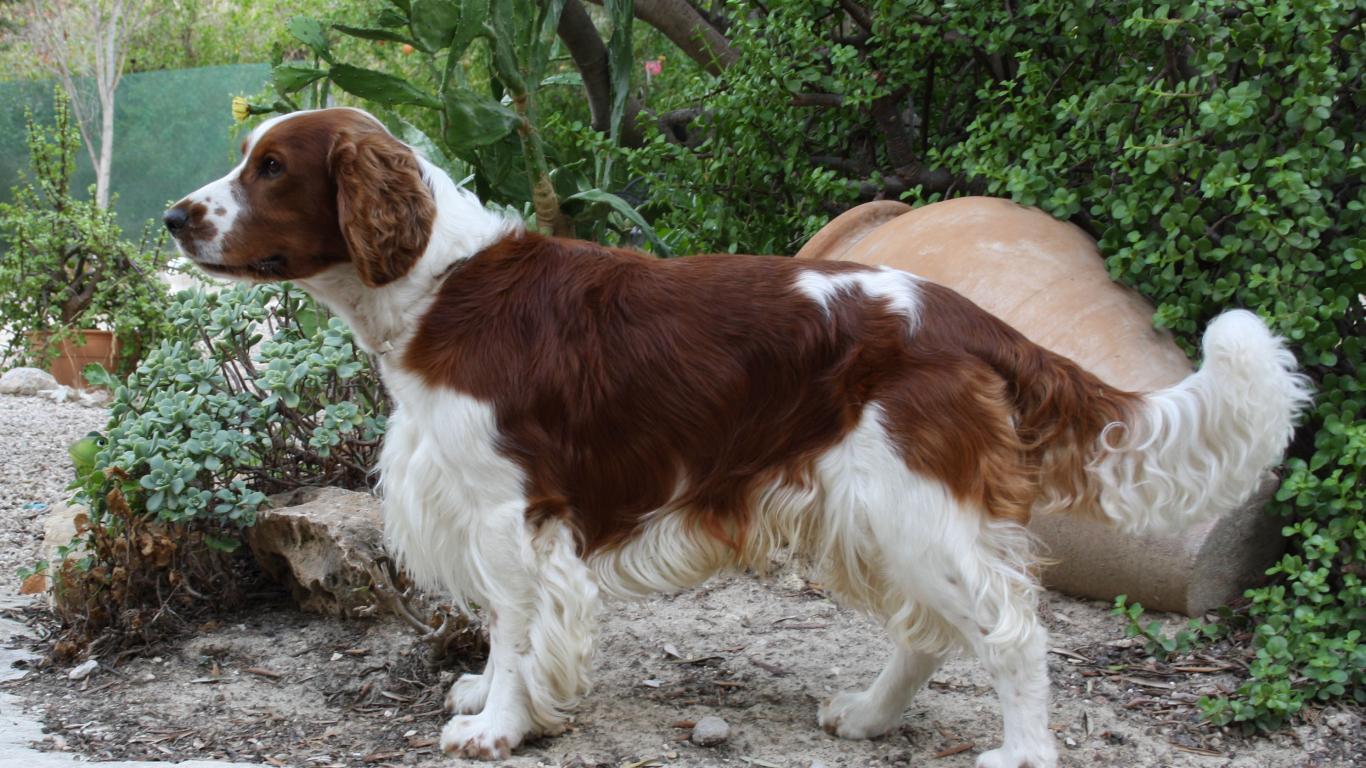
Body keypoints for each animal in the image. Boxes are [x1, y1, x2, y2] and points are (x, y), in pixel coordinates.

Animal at [165, 107, 1310, 767]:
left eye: (272, 168)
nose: (176, 216)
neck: (440, 286)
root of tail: (967, 316)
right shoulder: (487, 511)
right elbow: (500, 631)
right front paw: (495, 698)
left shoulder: (508, 513)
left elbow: (517, 627)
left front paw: (499, 726)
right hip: (874, 512)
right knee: (932, 630)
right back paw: (869, 716)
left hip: (906, 503)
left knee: (1011, 632)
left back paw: (1021, 754)